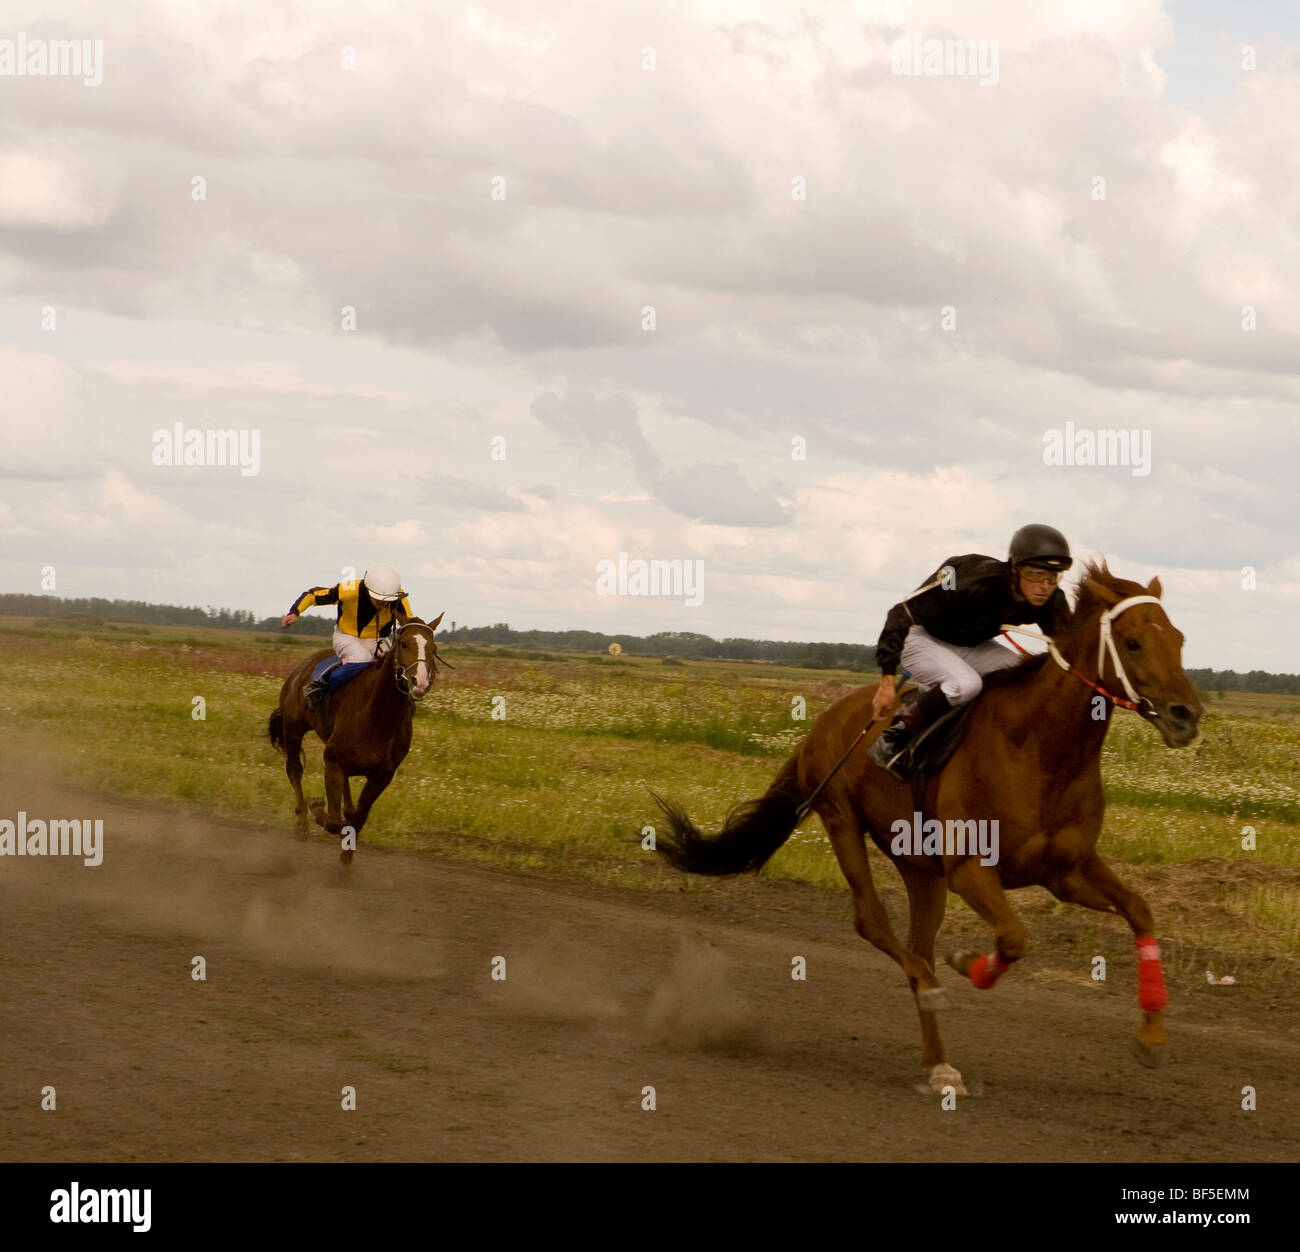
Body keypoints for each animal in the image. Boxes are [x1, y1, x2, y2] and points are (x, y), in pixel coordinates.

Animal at [266, 613, 444, 863]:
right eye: (404, 643)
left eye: (433, 648)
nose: (419, 682)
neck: (377, 716)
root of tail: (301, 669)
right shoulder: (333, 761)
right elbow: (333, 822)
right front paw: (317, 808)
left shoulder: (382, 775)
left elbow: (358, 819)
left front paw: (347, 856)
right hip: (293, 729)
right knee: (294, 770)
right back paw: (302, 822)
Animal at [655, 564, 1201, 1092]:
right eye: (1133, 641)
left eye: (1179, 638)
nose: (1186, 715)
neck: (1040, 750)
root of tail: (823, 722)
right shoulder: (969, 869)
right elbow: (1014, 937)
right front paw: (970, 965)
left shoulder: (1066, 871)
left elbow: (1141, 911)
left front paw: (1152, 1035)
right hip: (842, 820)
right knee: (874, 924)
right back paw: (932, 991)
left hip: (921, 869)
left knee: (918, 947)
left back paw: (940, 1062)